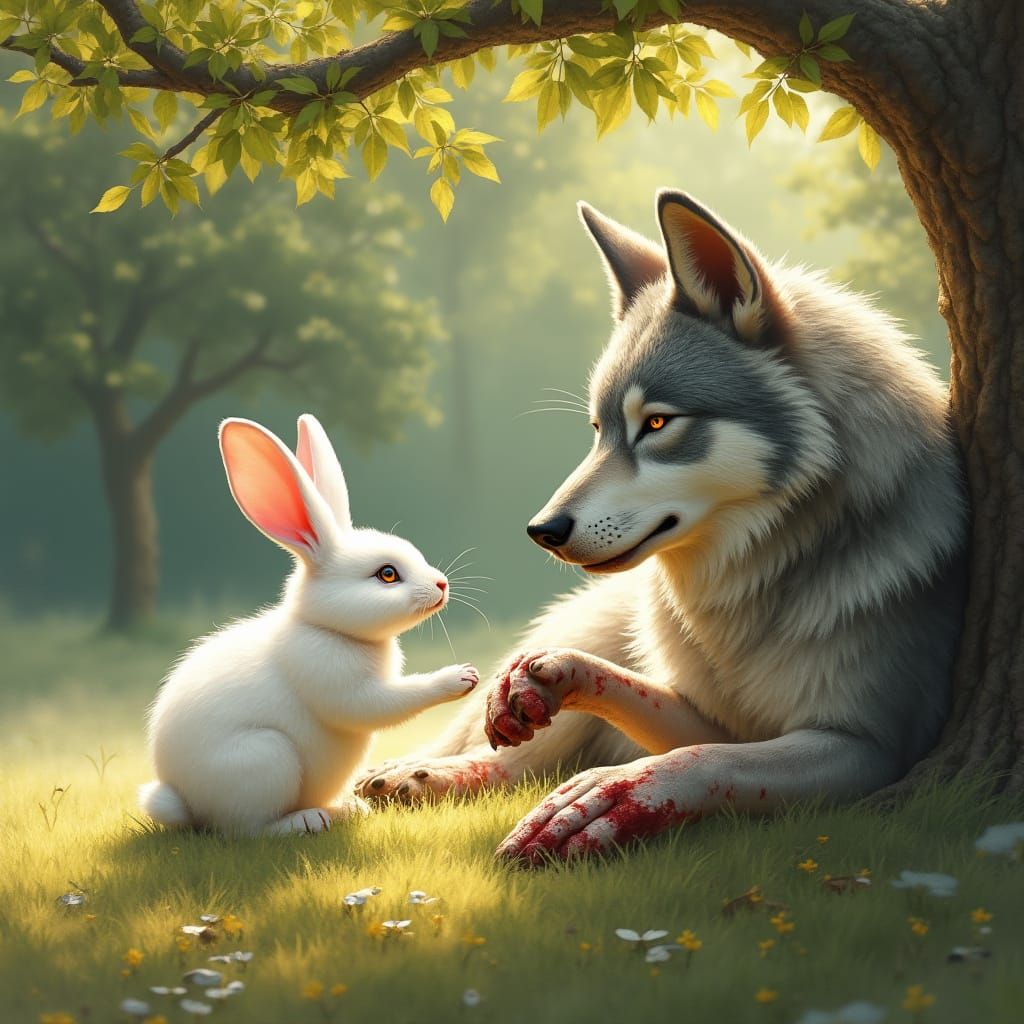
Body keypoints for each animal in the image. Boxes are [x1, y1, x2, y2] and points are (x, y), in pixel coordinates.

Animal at [139, 413, 479, 836]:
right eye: (387, 574)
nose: (441, 585)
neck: (326, 627)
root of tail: (183, 801)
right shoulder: (340, 684)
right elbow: (387, 703)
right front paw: (460, 677)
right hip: (265, 758)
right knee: (247, 829)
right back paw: (309, 820)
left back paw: (349, 809)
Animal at [355, 189, 969, 864]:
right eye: (598, 430)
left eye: (655, 423)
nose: (541, 530)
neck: (754, 584)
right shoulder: (720, 711)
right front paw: (555, 678)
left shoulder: (868, 747)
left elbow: (705, 756)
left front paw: (614, 795)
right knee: (510, 760)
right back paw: (416, 776)